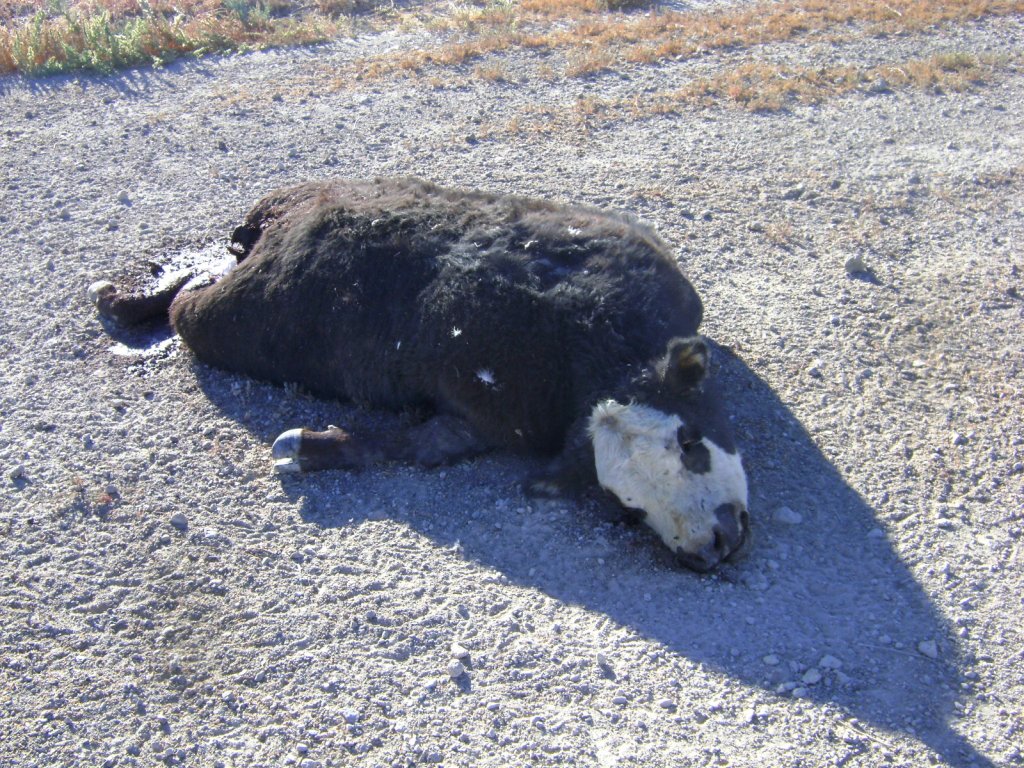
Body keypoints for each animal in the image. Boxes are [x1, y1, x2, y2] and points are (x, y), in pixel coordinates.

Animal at [92, 176, 749, 573]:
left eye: (691, 442)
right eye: (628, 508)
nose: (714, 548)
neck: (600, 347)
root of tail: (271, 222)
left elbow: (415, 445)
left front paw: (307, 446)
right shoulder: (487, 413)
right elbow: (414, 448)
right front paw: (303, 447)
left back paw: (124, 298)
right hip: (228, 317)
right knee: (189, 298)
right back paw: (126, 299)